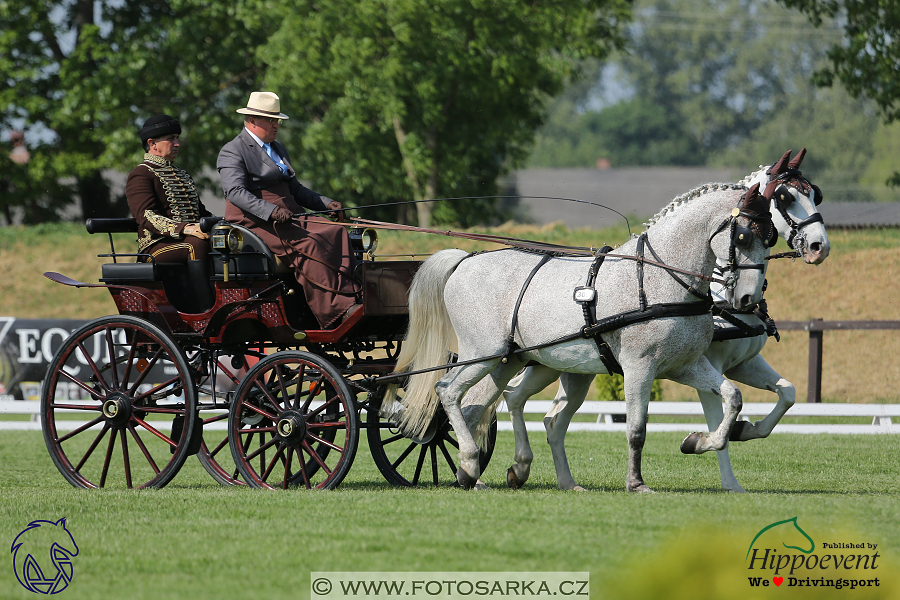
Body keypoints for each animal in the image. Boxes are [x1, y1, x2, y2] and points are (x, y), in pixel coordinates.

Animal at [384, 180, 772, 490]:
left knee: (479, 407)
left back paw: (477, 474)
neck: (660, 278)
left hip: (509, 362)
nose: (748, 298)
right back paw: (470, 462)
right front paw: (637, 483)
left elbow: (733, 397)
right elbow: (636, 428)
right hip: (482, 353)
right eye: (743, 236)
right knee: (447, 392)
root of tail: (465, 259)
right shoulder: (639, 367)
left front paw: (699, 441)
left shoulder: (685, 366)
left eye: (770, 237)